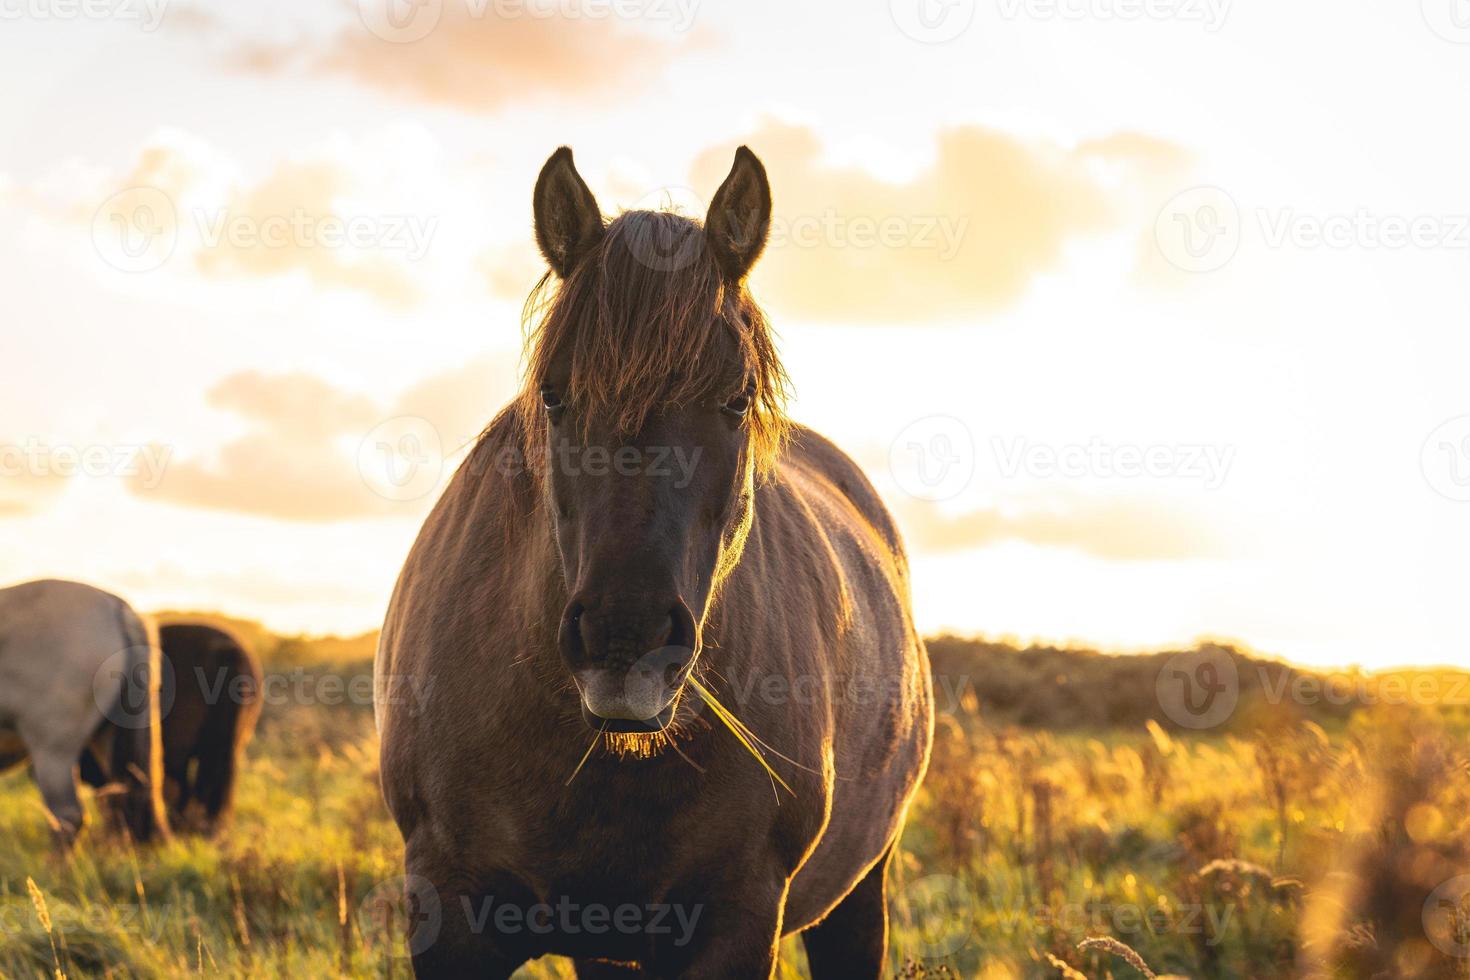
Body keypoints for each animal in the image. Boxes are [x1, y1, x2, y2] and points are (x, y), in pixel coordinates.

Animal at [376, 147, 929, 980]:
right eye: (554, 395)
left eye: (737, 399)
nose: (624, 638)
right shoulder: (450, 917)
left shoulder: (738, 921)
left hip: (861, 890)